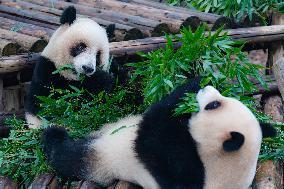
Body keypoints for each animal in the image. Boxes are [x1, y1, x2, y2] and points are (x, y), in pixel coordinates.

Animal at [43, 77, 276, 189]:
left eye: (213, 105)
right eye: (218, 100)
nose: (206, 89)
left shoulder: (181, 175)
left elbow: (152, 137)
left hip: (103, 160)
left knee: (69, 156)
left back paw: (53, 135)